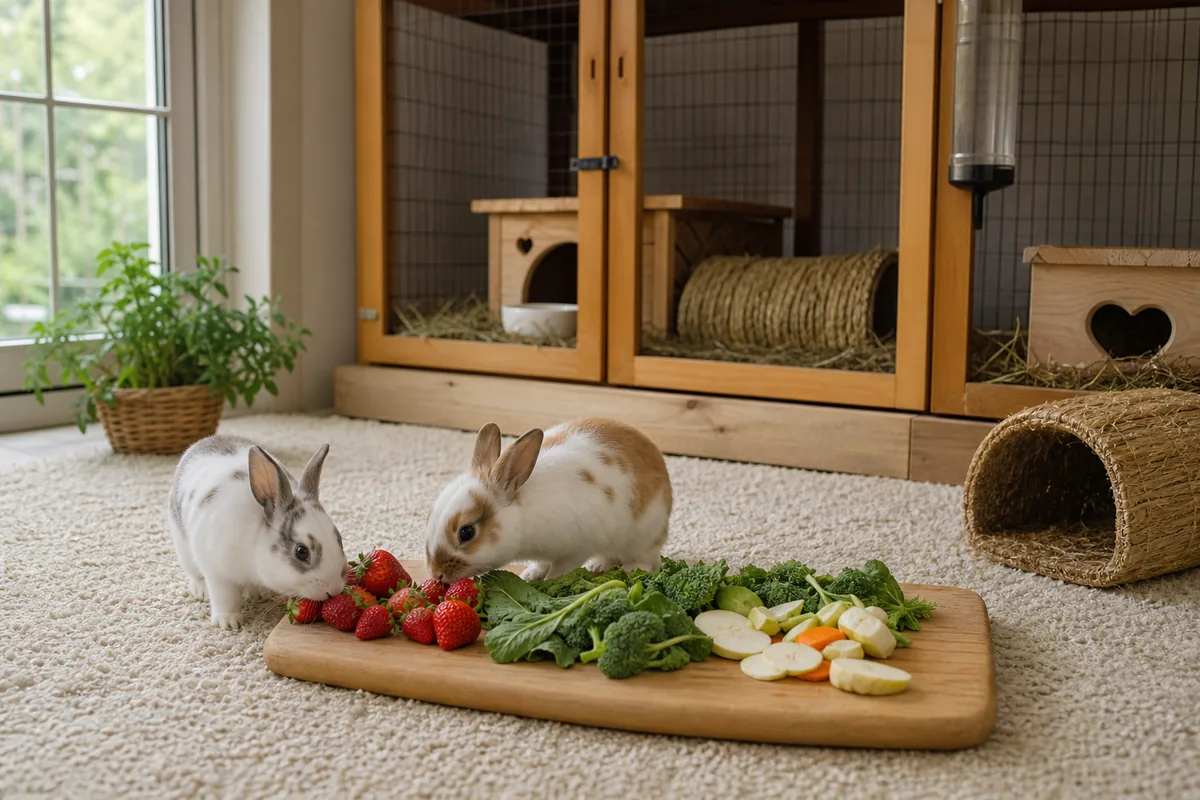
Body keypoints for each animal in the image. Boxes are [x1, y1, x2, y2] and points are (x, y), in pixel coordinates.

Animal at [166, 434, 348, 630]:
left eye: (339, 538)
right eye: (301, 552)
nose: (334, 589)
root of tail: (205, 441)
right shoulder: (216, 571)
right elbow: (224, 596)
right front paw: (229, 622)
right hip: (183, 550)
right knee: (194, 574)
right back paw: (201, 590)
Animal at [424, 418, 673, 584]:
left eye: (466, 532)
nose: (436, 573)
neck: (524, 513)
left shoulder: (577, 548)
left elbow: (561, 569)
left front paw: (549, 581)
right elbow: (542, 563)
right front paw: (530, 574)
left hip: (641, 537)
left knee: (645, 561)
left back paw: (630, 569)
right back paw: (598, 565)